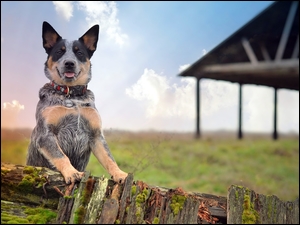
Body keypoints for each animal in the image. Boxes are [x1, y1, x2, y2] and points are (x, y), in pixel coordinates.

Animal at [26, 21, 127, 195]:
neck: (72, 95)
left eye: (79, 52)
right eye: (59, 51)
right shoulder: (45, 134)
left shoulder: (96, 135)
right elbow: (61, 156)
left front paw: (120, 174)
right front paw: (72, 173)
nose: (69, 63)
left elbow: (109, 159)